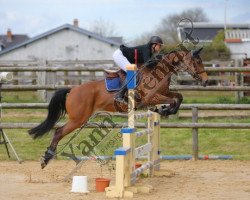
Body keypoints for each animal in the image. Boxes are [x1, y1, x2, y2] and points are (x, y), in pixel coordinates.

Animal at [28, 47, 208, 168]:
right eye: (197, 61)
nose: (206, 81)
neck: (158, 72)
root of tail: (72, 90)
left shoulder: (163, 93)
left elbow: (178, 97)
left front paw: (164, 110)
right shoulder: (150, 97)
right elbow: (172, 100)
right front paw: (165, 110)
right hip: (78, 119)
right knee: (58, 132)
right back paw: (46, 158)